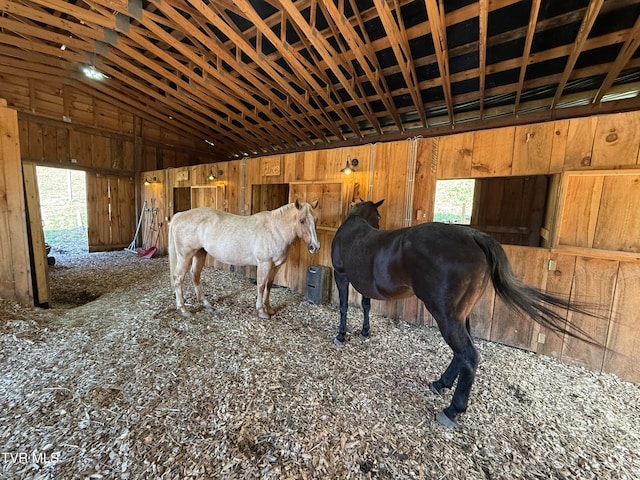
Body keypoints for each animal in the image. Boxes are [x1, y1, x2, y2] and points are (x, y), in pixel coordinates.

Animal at [170, 200, 320, 318]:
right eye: (302, 220)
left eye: (316, 220)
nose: (315, 246)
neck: (274, 230)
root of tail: (180, 215)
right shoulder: (264, 264)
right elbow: (261, 286)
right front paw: (261, 311)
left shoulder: (275, 266)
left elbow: (269, 286)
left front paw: (269, 308)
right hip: (185, 256)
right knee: (178, 278)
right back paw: (183, 309)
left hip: (200, 253)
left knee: (195, 275)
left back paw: (205, 303)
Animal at [332, 200, 596, 428]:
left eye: (378, 217)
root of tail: (473, 236)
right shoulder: (362, 285)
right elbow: (365, 306)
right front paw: (364, 332)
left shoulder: (341, 275)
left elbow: (344, 307)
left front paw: (341, 335)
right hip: (460, 314)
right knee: (461, 352)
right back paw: (441, 383)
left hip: (445, 315)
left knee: (469, 355)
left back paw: (452, 410)